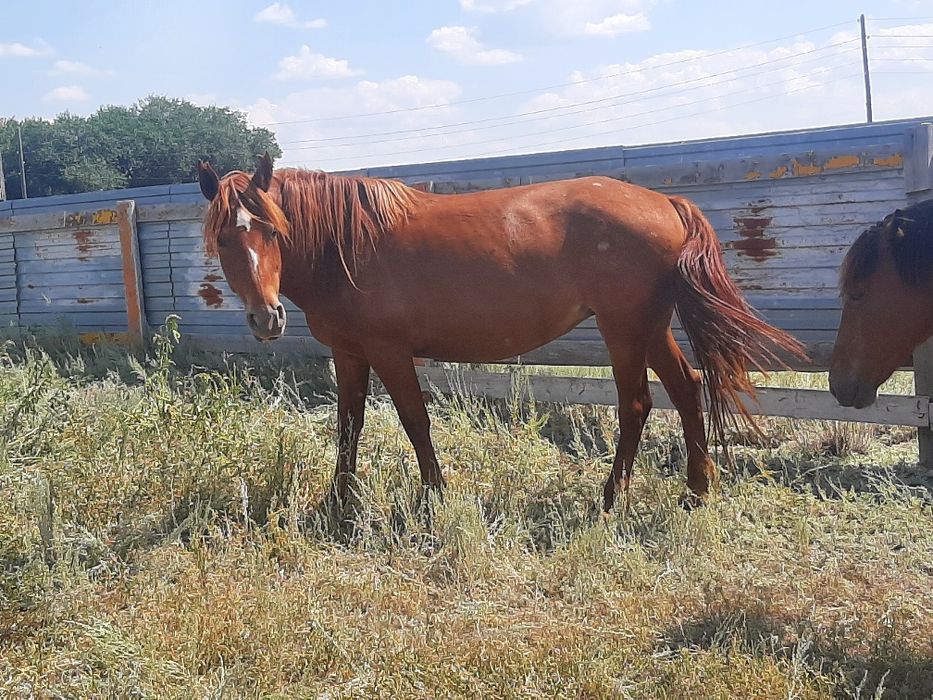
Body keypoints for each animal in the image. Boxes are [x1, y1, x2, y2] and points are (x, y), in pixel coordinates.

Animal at [196, 153, 805, 511]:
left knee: (636, 405)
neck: (344, 245)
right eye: (224, 238)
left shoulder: (390, 352)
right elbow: (349, 426)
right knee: (685, 388)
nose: (266, 318)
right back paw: (696, 490)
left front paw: (435, 497)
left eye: (273, 229)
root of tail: (665, 202)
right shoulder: (349, 354)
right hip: (650, 327)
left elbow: (415, 422)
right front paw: (338, 502)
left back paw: (611, 499)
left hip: (625, 329)